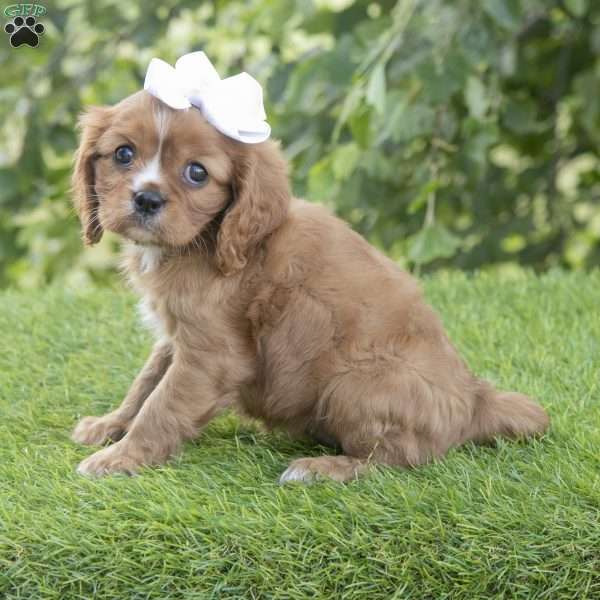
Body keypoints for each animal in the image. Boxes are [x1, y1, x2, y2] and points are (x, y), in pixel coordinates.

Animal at [70, 56, 548, 480]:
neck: (208, 241)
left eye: (197, 173)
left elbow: (162, 404)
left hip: (353, 384)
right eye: (123, 154)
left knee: (402, 458)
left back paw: (323, 468)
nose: (146, 199)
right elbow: (146, 382)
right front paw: (110, 425)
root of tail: (475, 398)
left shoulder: (212, 352)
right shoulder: (175, 335)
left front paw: (122, 458)